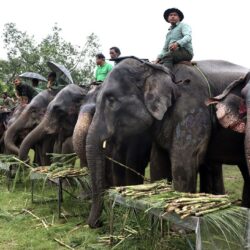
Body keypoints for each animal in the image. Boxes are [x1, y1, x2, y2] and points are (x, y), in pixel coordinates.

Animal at [84, 57, 250, 229]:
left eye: (111, 100)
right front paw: (157, 220)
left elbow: (184, 163)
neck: (157, 68)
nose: (96, 224)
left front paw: (179, 228)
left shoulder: (192, 109)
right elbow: (158, 162)